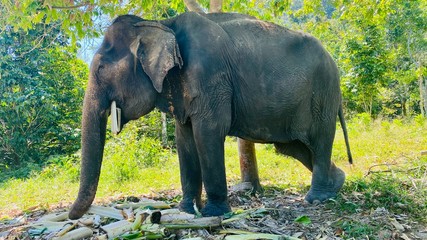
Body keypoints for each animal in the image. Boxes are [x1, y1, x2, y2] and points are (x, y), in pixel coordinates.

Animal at [67, 12, 354, 220]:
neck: (160, 24)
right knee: (292, 146)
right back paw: (337, 183)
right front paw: (185, 211)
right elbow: (184, 139)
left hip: (324, 91)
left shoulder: (211, 78)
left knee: (319, 139)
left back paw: (317, 198)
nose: (71, 217)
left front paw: (214, 214)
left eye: (100, 69)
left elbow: (208, 133)